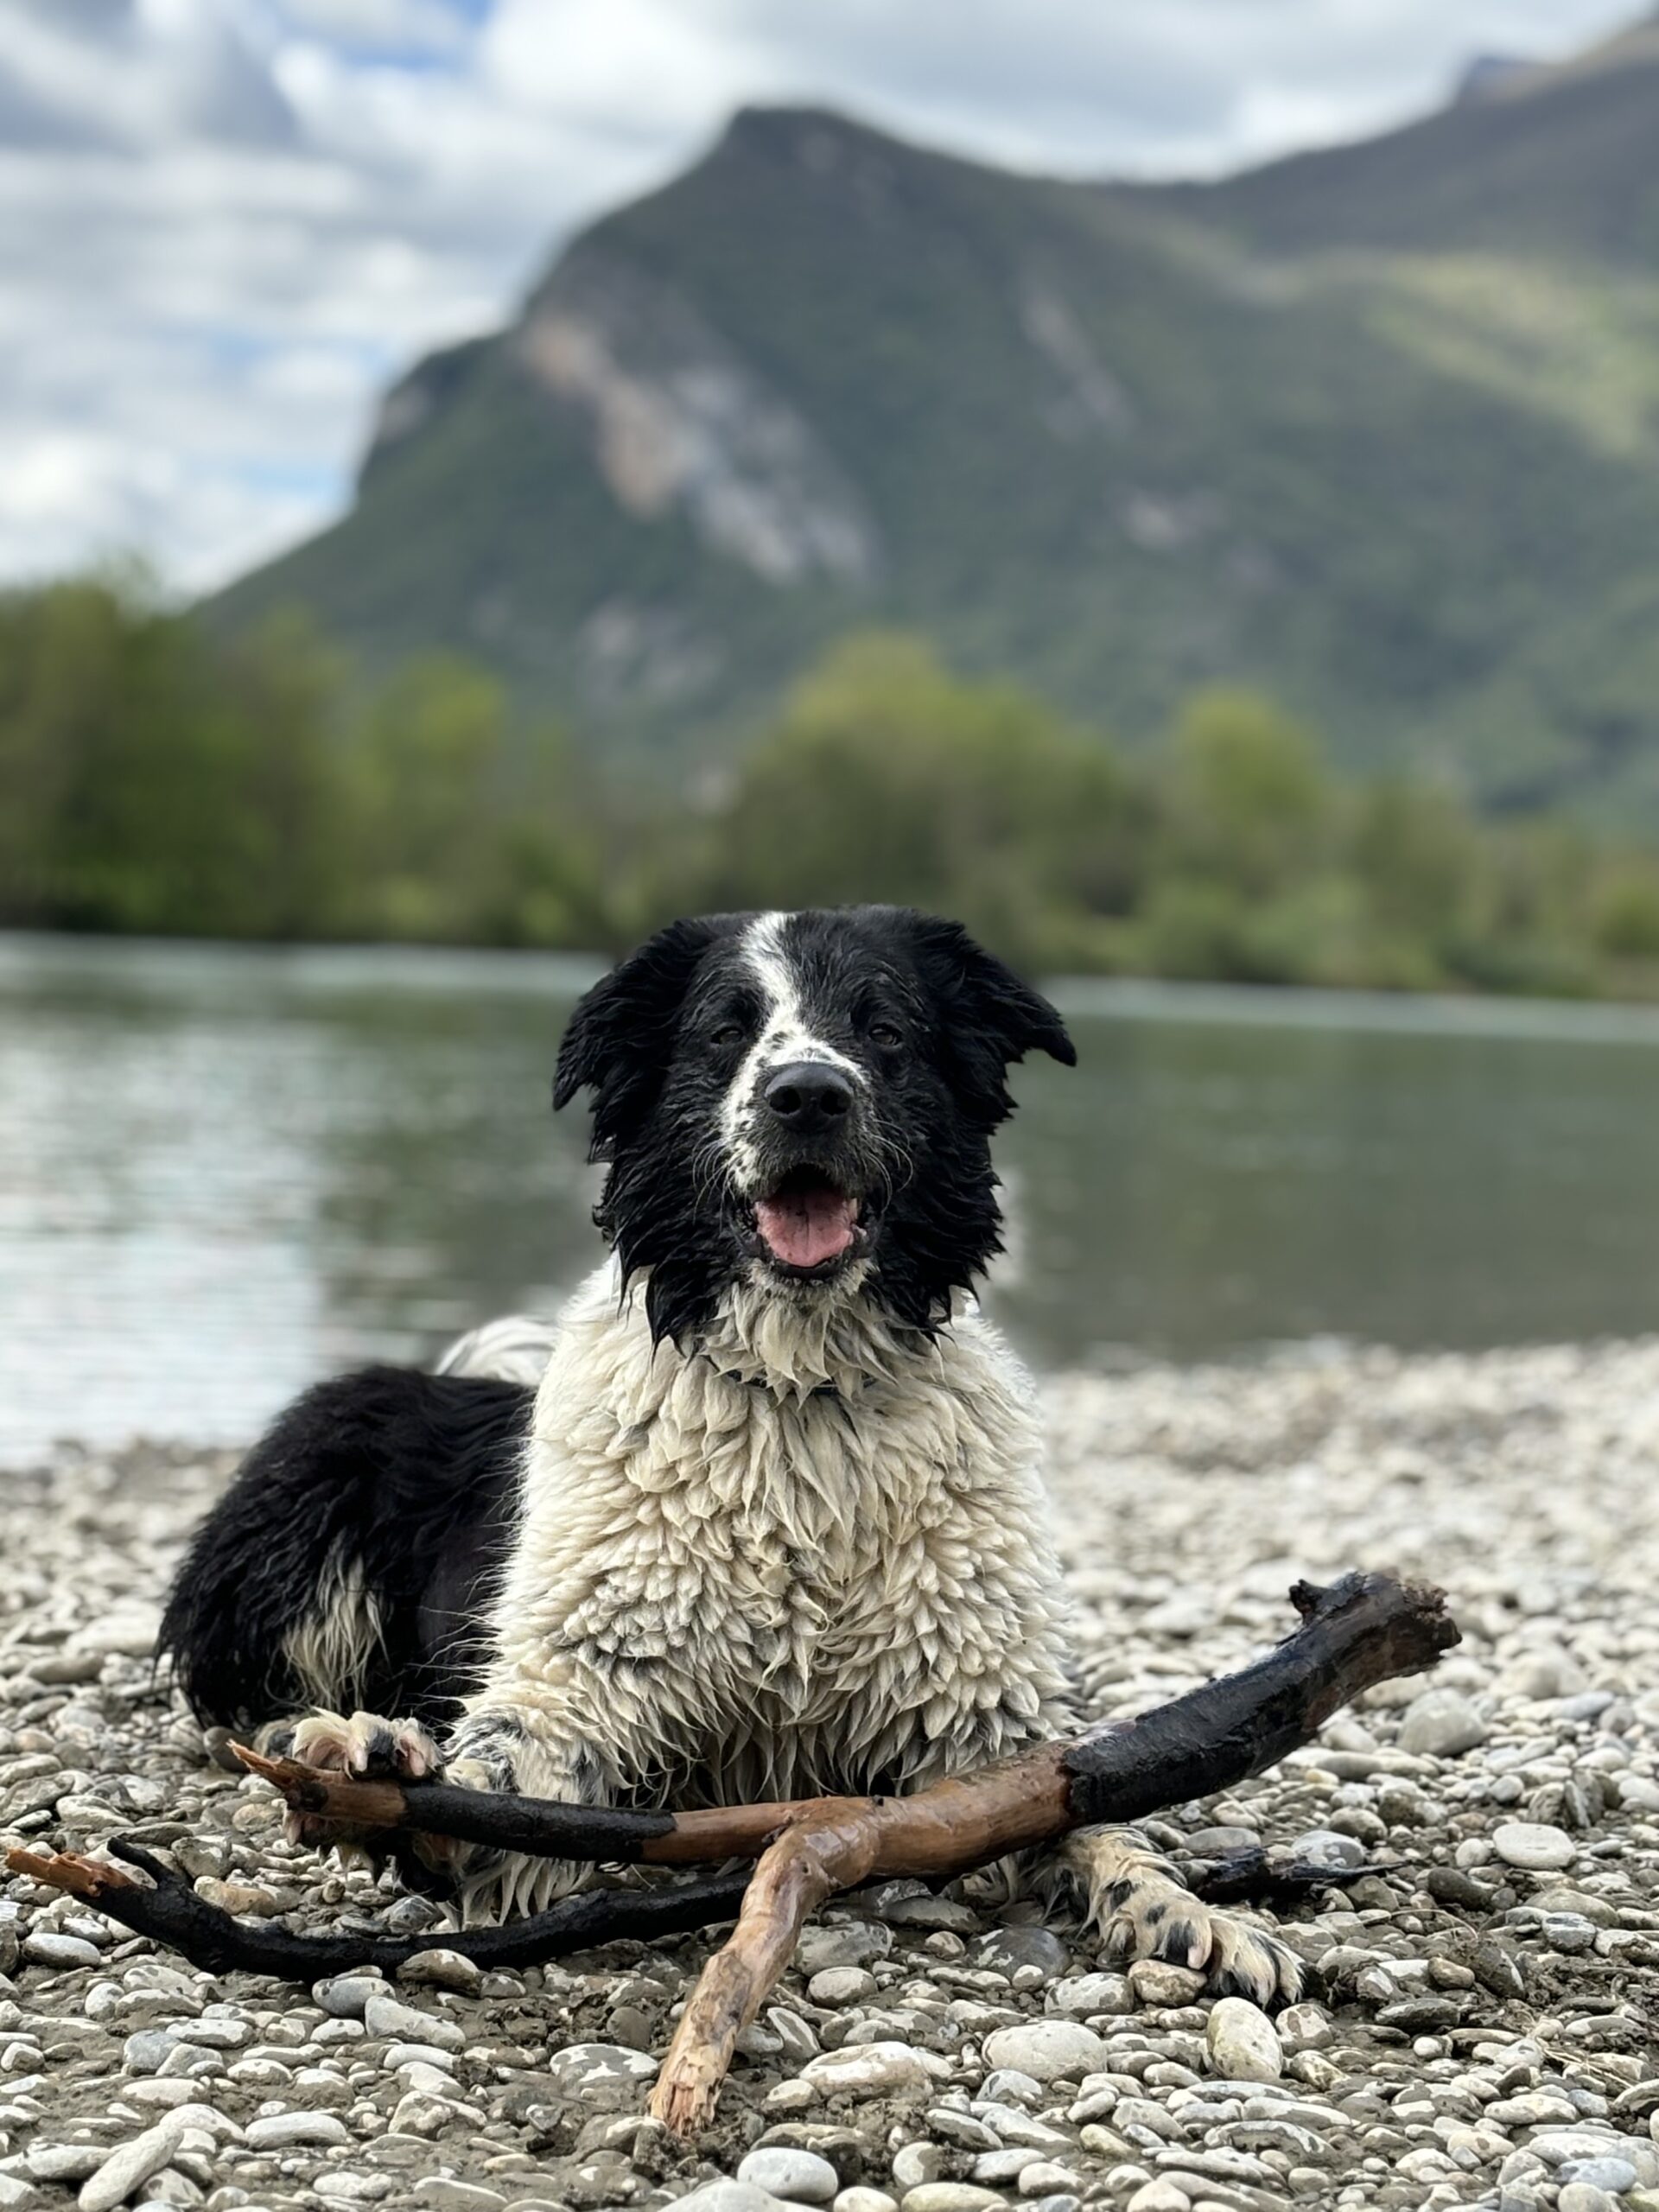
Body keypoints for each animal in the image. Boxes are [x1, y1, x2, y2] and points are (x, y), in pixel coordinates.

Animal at [159, 906, 1300, 1999]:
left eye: (884, 1029)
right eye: (724, 1032)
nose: (808, 1095)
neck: (801, 1402)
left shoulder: (976, 1715)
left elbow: (1088, 1813)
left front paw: (1189, 1913)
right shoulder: (582, 1682)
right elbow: (497, 1785)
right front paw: (379, 1777)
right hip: (324, 1463)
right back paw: (323, 1732)